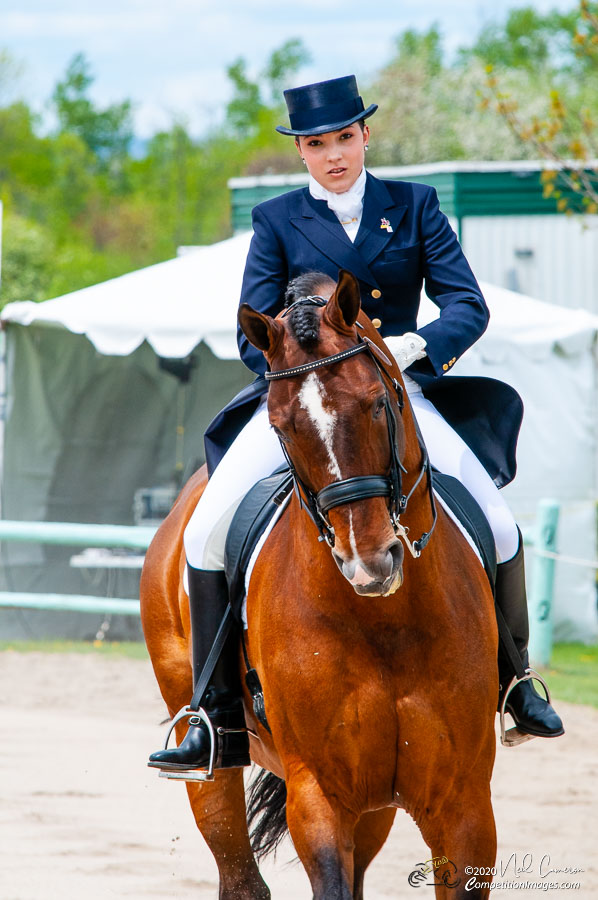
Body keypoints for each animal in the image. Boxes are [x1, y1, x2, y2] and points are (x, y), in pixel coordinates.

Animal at [139, 270, 496, 896]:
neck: (386, 621)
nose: (367, 563)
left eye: (377, 403)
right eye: (281, 425)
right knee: (238, 869)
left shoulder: (465, 802)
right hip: (207, 754)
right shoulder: (321, 795)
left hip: (377, 805)